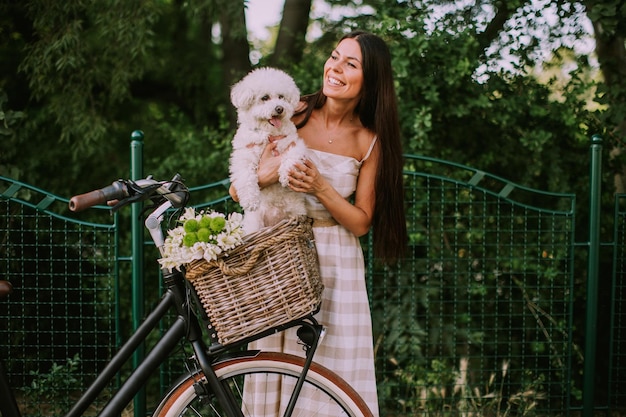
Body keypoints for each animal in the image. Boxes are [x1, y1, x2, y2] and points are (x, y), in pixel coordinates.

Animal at [229, 66, 308, 232]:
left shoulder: (296, 144)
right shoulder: (242, 157)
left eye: (281, 97)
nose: (279, 108)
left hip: (297, 211)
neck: (269, 133)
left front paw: (285, 176)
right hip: (255, 223)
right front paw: (250, 200)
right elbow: (245, 176)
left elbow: (290, 157)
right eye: (264, 98)